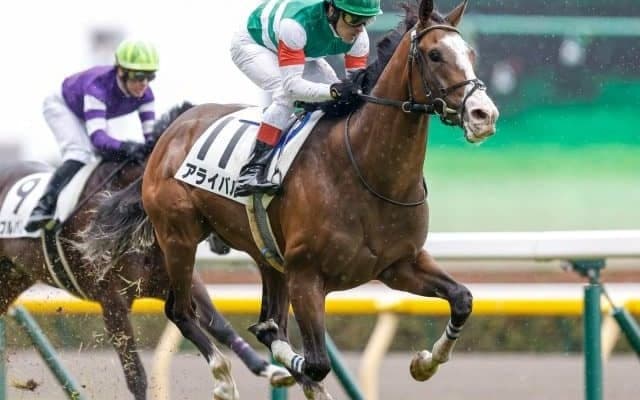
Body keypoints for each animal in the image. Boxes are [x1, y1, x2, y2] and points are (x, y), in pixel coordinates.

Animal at [0, 103, 293, 400]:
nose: (222, 244)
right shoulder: (112, 302)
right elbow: (136, 376)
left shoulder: (178, 279)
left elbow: (220, 326)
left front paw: (268, 369)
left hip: (14, 278)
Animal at [82, 0, 499, 398]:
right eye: (434, 54)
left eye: (470, 52)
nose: (484, 114)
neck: (367, 172)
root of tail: (172, 132)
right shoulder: (306, 276)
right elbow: (314, 362)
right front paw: (287, 365)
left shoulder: (399, 264)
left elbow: (462, 298)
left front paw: (425, 362)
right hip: (178, 237)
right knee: (181, 310)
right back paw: (223, 378)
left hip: (265, 253)